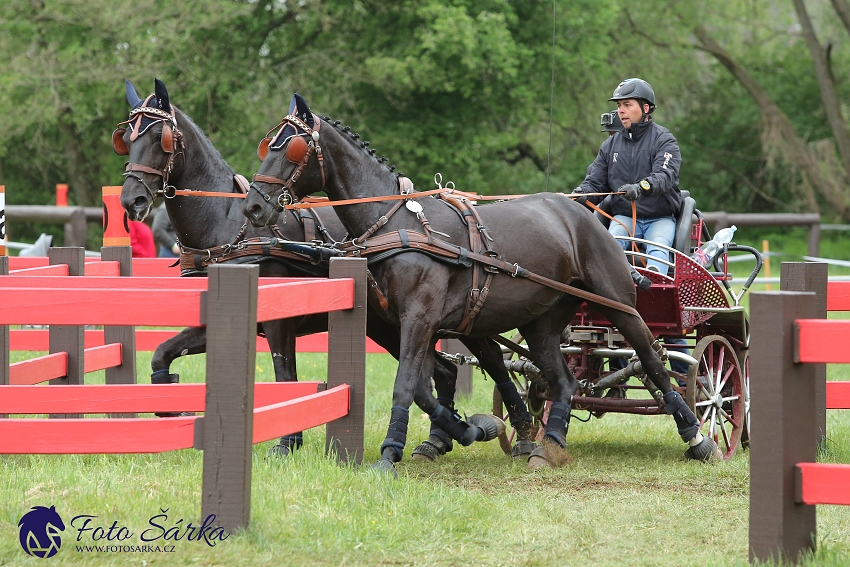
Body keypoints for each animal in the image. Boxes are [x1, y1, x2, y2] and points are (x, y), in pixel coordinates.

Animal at [117, 79, 510, 462]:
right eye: (126, 139)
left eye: (159, 136)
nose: (131, 199)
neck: (228, 227)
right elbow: (162, 352)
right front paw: (172, 410)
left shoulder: (279, 322)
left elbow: (285, 376)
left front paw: (286, 442)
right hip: (389, 325)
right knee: (443, 371)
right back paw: (438, 440)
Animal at [242, 95, 720, 472]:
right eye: (268, 145)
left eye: (292, 148)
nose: (252, 207)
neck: (395, 224)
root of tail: (586, 213)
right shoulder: (404, 323)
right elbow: (425, 386)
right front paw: (468, 429)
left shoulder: (420, 319)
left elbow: (407, 384)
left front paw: (390, 452)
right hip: (541, 323)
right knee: (563, 381)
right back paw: (549, 445)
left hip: (618, 304)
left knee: (654, 360)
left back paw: (698, 436)